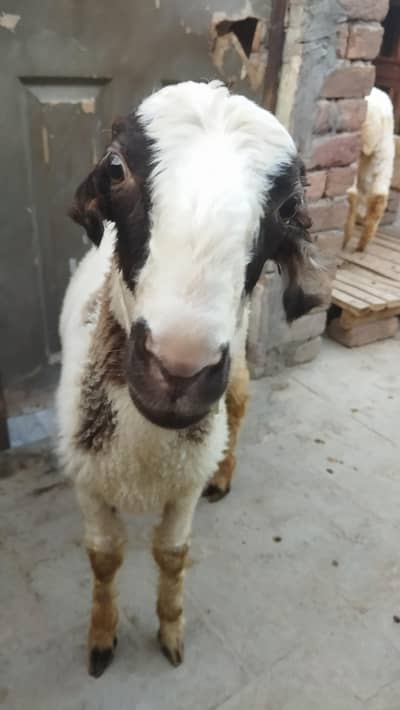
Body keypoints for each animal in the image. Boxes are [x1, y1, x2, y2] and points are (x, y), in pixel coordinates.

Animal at [57, 80, 324, 678]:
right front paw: (101, 637)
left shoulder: (185, 484)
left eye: (289, 207)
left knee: (240, 402)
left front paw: (171, 630)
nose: (178, 369)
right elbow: (104, 556)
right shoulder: (88, 478)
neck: (144, 456)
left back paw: (225, 473)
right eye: (115, 168)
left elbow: (172, 554)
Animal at [343, 87, 395, 252]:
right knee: (378, 196)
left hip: (360, 142)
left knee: (352, 192)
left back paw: (347, 237)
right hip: (383, 151)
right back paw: (363, 243)